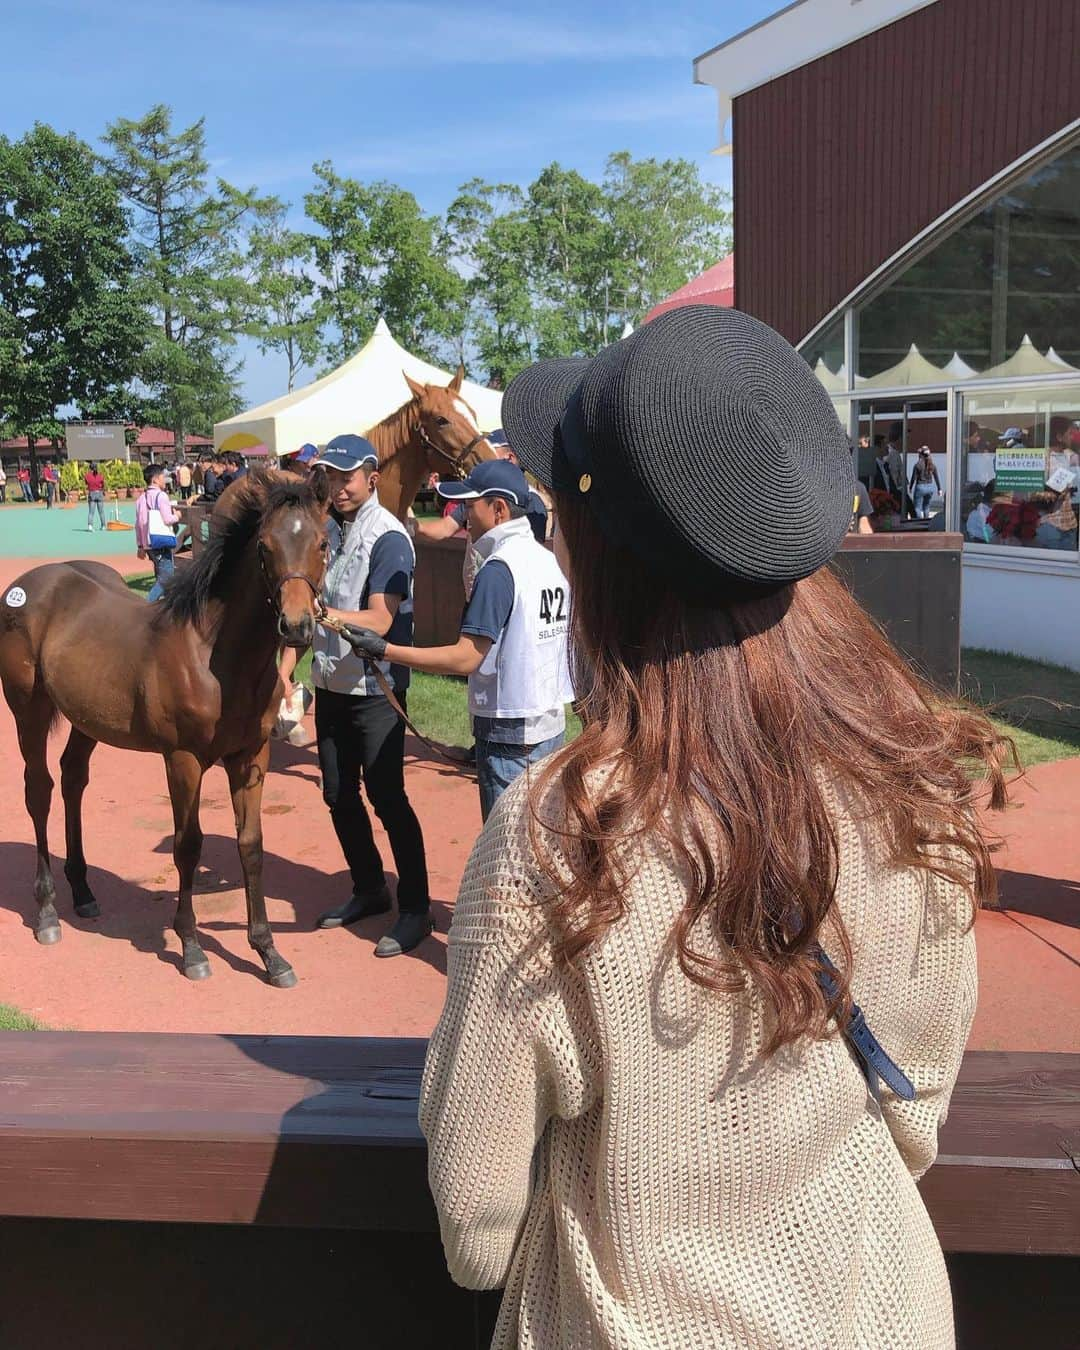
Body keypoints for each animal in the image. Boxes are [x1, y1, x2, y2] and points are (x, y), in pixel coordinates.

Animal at [0, 469, 329, 988]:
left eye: (322, 542)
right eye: (265, 546)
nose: (295, 626)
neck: (213, 655)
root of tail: (27, 584)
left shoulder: (251, 756)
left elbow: (251, 846)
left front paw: (269, 952)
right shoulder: (183, 759)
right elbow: (187, 846)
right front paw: (192, 947)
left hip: (85, 719)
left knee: (73, 780)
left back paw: (83, 892)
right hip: (27, 710)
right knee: (40, 791)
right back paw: (48, 912)